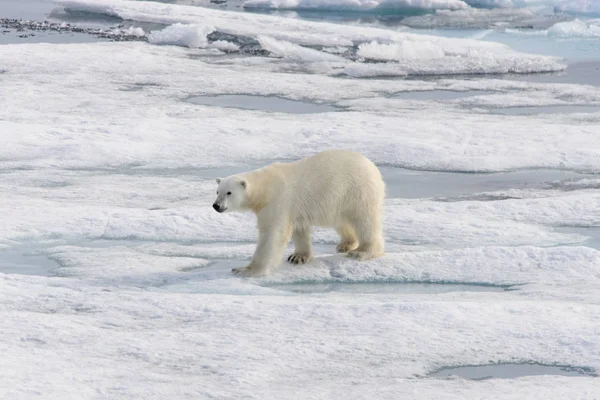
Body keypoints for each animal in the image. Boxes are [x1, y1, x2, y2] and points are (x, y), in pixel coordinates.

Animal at [213, 148, 386, 276]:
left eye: (229, 193)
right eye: (217, 191)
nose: (216, 205)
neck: (266, 188)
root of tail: (373, 167)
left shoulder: (278, 201)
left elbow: (272, 234)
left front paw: (246, 270)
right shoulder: (293, 209)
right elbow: (299, 229)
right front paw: (298, 257)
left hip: (358, 191)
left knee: (365, 221)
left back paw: (362, 251)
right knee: (341, 220)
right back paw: (345, 244)